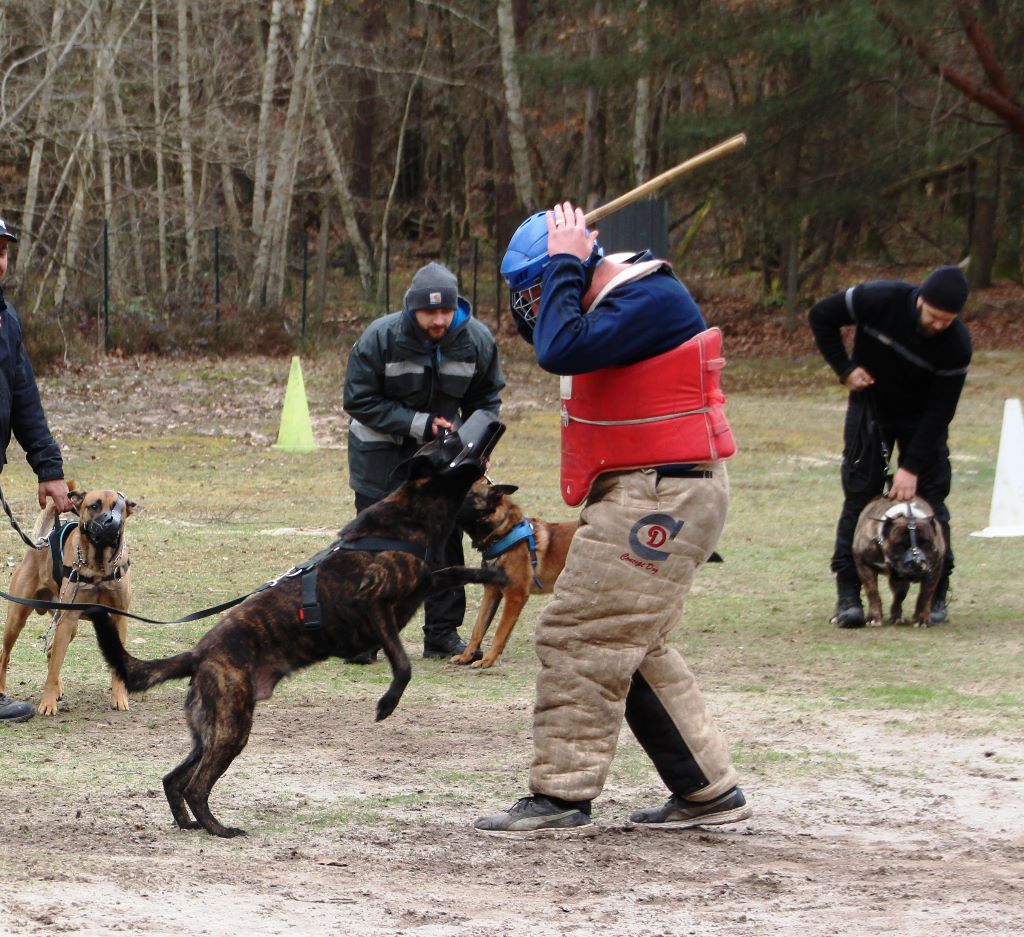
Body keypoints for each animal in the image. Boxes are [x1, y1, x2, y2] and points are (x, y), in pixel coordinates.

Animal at [0, 487, 136, 712]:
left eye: (118, 508)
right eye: (94, 506)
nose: (110, 523)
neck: (98, 566)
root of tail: (39, 543)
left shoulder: (119, 617)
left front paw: (120, 697)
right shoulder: (69, 618)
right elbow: (55, 667)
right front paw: (47, 703)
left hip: (67, 624)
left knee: (49, 651)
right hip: (18, 620)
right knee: (7, 656)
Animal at [87, 413, 507, 839]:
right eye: (452, 439)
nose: (487, 418)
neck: (412, 517)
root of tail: (201, 653)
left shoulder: (422, 584)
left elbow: (455, 572)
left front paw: (496, 576)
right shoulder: (373, 606)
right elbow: (403, 665)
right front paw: (387, 704)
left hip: (208, 730)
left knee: (172, 779)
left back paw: (188, 823)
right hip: (233, 726)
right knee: (195, 785)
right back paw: (218, 828)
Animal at [454, 479, 577, 671]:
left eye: (467, 492)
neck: (503, 533)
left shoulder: (515, 596)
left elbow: (500, 631)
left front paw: (488, 660)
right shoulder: (491, 591)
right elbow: (478, 628)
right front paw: (466, 656)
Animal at [851, 497, 946, 630]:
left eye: (926, 543)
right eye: (900, 545)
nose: (917, 563)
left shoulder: (934, 568)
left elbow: (925, 594)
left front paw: (922, 618)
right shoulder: (863, 564)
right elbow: (872, 592)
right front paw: (874, 617)